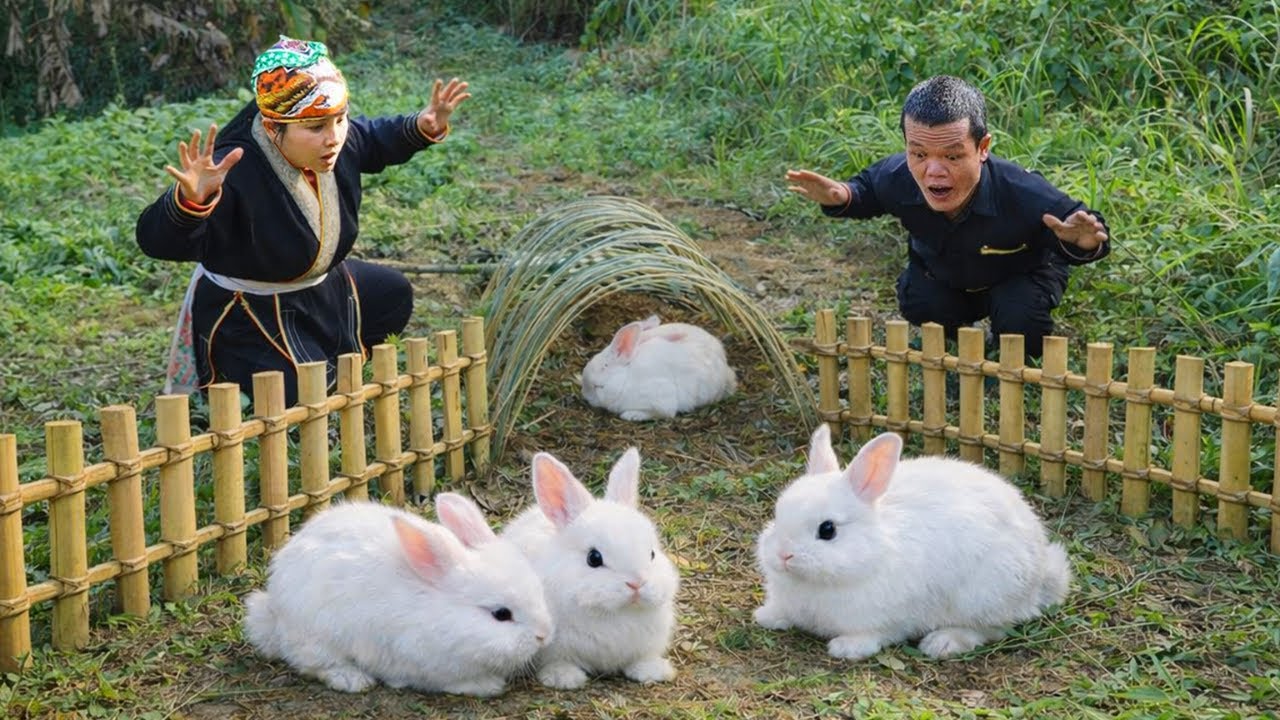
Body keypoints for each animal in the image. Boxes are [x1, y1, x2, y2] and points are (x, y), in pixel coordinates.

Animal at [242, 494, 553, 696]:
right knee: (313, 663)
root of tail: (272, 609)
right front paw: (487, 685)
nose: (544, 635)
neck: (442, 612)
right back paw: (353, 679)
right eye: (501, 614)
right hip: (316, 636)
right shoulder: (423, 663)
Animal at [501, 447, 680, 689]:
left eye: (652, 553)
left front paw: (652, 671)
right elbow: (557, 660)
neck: (613, 613)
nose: (637, 583)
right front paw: (564, 678)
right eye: (594, 558)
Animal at [581, 314, 737, 421]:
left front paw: (630, 415)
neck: (626, 379)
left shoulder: (661, 400)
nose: (585, 394)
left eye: (604, 367)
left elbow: (661, 413)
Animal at [755, 424, 1071, 660]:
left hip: (984, 597)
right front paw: (766, 617)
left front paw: (846, 648)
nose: (783, 555)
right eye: (777, 515)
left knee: (993, 629)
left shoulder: (889, 618)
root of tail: (1042, 572)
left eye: (828, 530)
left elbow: (877, 635)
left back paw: (943, 642)